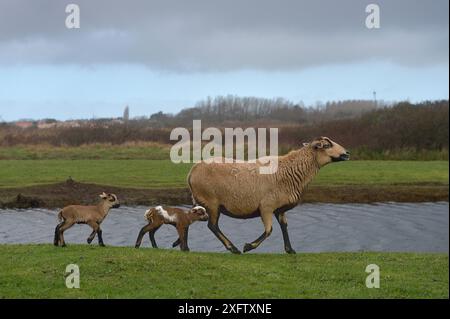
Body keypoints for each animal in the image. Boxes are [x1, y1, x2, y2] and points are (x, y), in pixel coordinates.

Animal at [186, 137, 348, 255]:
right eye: (326, 145)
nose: (347, 154)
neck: (291, 171)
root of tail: (192, 171)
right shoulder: (266, 207)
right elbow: (269, 231)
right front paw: (248, 246)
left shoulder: (279, 209)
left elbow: (284, 226)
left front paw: (290, 250)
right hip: (212, 202)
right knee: (213, 226)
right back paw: (233, 248)